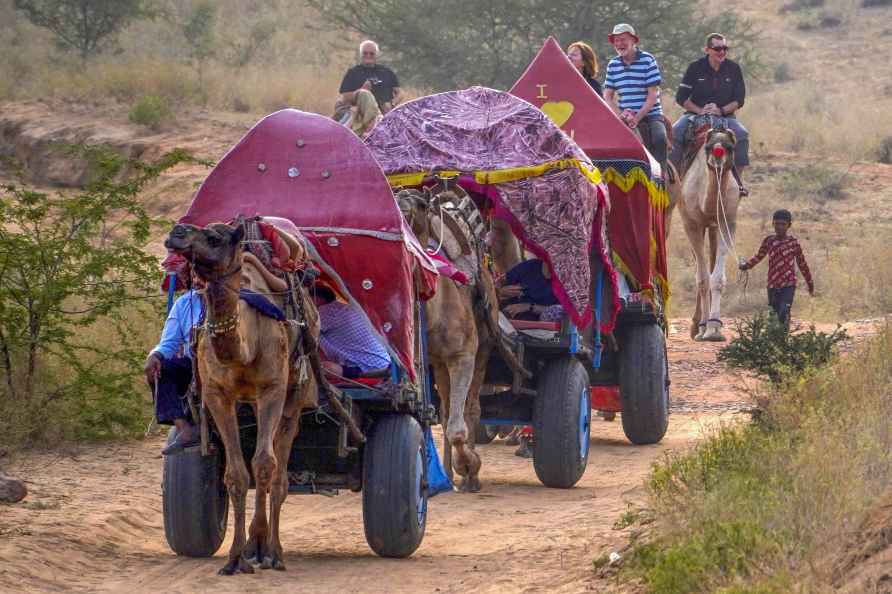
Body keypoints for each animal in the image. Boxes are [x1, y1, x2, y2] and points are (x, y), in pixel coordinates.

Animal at [166, 219, 322, 572]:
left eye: (214, 238)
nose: (176, 234)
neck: (244, 346)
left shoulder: (272, 390)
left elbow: (264, 465)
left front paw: (270, 552)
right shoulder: (217, 395)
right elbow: (237, 474)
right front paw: (236, 558)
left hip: (295, 397)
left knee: (278, 473)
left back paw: (269, 549)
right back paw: (254, 546)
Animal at [398, 186, 502, 490]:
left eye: (420, 204)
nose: (402, 212)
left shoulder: (463, 355)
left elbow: (459, 425)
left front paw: (470, 465)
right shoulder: (428, 360)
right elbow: (442, 418)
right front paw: (449, 471)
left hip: (484, 347)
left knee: (472, 408)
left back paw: (470, 477)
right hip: (438, 363)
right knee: (445, 412)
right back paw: (446, 473)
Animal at [680, 130, 744, 342]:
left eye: (730, 147)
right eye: (708, 147)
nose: (717, 155)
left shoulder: (727, 221)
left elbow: (716, 278)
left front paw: (714, 328)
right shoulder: (691, 224)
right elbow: (702, 278)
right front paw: (703, 328)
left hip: (714, 228)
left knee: (712, 258)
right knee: (700, 266)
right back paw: (697, 326)